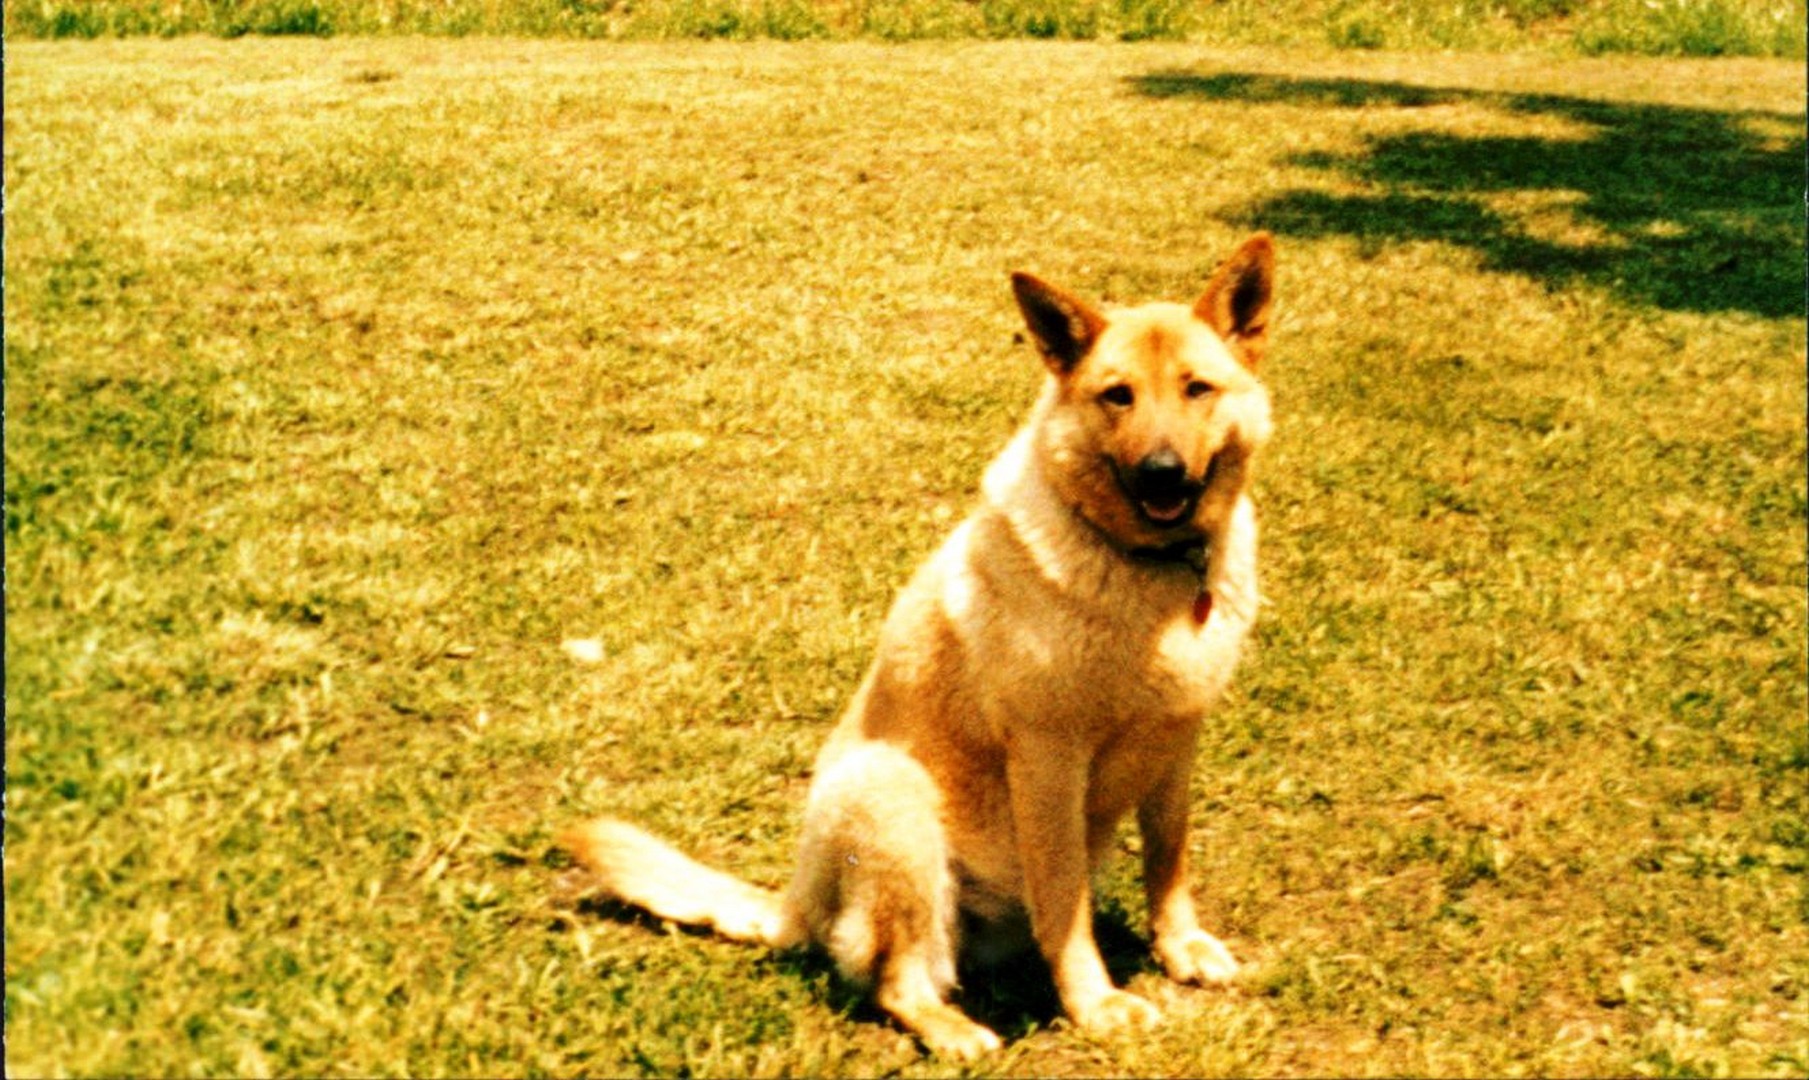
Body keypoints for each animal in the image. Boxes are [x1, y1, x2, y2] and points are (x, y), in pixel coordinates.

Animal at [560, 233, 1276, 1058]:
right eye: (1116, 395)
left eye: (1197, 389)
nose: (1161, 472)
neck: (1151, 568)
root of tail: (797, 899)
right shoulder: (1047, 758)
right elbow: (1064, 899)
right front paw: (1093, 1002)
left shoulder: (1176, 742)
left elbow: (1168, 856)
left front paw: (1178, 945)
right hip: (892, 794)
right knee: (893, 981)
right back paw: (953, 1031)